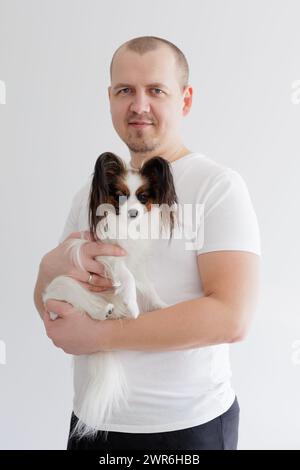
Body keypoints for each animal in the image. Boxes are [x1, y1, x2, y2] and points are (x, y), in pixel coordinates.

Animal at [42, 151, 178, 440]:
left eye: (143, 197)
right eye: (121, 196)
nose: (134, 212)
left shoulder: (137, 263)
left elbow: (146, 285)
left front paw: (158, 304)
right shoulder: (107, 255)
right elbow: (126, 276)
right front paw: (133, 304)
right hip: (64, 285)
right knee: (85, 305)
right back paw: (105, 309)